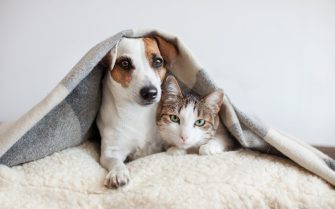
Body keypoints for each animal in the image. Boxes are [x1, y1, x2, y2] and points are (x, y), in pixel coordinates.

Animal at [97, 36, 178, 188]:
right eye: (125, 63)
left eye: (158, 61)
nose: (150, 92)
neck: (138, 113)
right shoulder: (111, 151)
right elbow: (115, 161)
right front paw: (118, 173)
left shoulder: (165, 141)